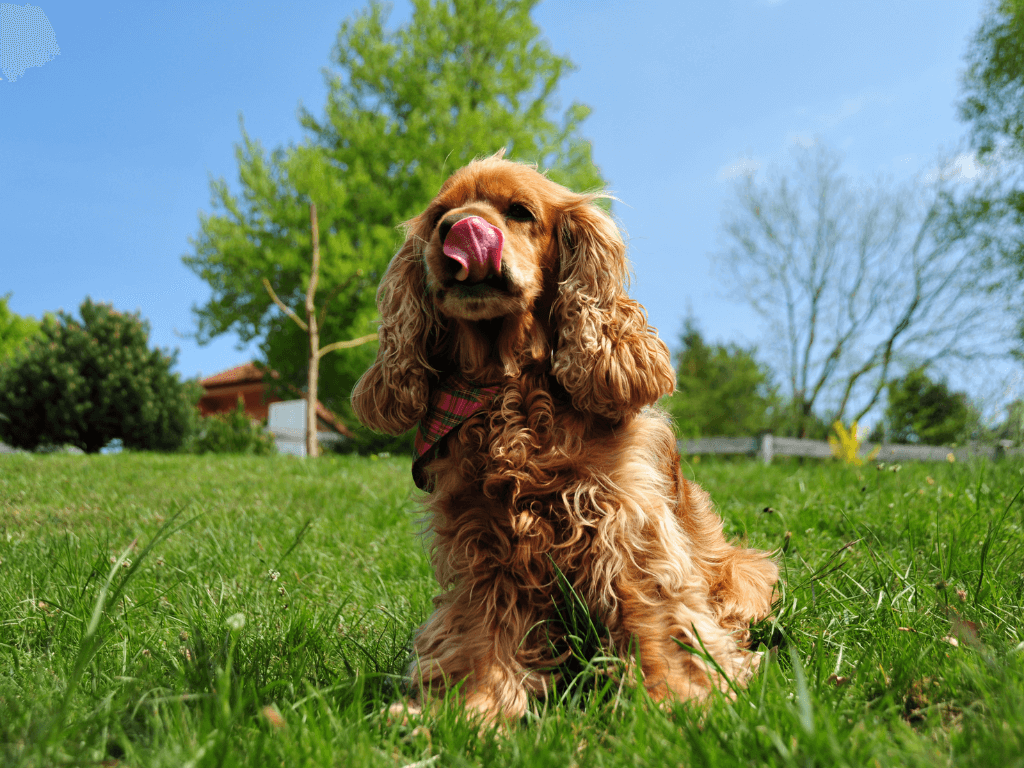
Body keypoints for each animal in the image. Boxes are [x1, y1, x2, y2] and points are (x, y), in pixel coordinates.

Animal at [352, 154, 774, 720]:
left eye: (520, 211)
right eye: (438, 214)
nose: (457, 230)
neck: (510, 387)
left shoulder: (627, 519)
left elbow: (658, 611)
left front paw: (674, 701)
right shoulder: (481, 538)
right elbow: (479, 631)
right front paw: (468, 709)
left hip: (745, 571)